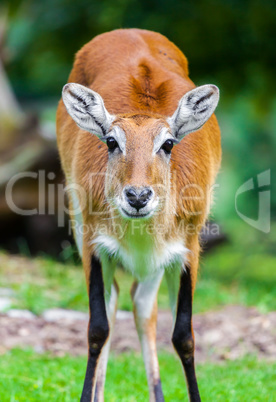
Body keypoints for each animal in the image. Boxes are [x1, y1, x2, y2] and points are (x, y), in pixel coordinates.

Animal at [56, 29, 222, 402]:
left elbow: (184, 337)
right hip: (79, 224)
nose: (137, 196)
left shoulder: (188, 248)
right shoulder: (94, 244)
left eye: (168, 143)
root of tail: (130, 31)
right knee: (116, 301)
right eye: (111, 141)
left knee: (143, 305)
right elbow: (97, 330)